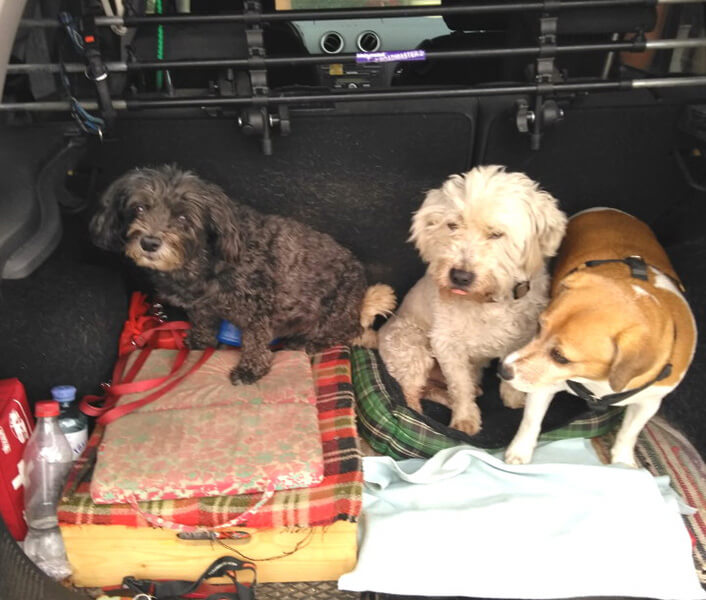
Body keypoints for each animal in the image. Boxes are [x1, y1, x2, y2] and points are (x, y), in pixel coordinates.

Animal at [90, 165, 396, 384]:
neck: (203, 261)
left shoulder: (260, 309)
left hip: (332, 313)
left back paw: (303, 342)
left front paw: (250, 369)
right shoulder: (201, 306)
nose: (150, 242)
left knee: (344, 333)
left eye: (184, 218)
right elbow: (203, 323)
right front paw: (200, 343)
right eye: (139, 208)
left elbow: (255, 341)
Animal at [378, 165, 567, 435]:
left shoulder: (521, 337)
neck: (487, 301)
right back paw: (413, 417)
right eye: (452, 225)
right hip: (411, 347)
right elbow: (459, 386)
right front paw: (465, 418)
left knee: (434, 389)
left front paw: (513, 398)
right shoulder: (448, 345)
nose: (459, 276)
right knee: (411, 390)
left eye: (496, 234)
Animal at [501, 208, 697, 466]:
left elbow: (629, 432)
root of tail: (606, 210)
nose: (502, 370)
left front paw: (623, 461)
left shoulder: (649, 402)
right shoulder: (544, 385)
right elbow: (531, 421)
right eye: (538, 327)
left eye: (561, 357)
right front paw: (519, 451)